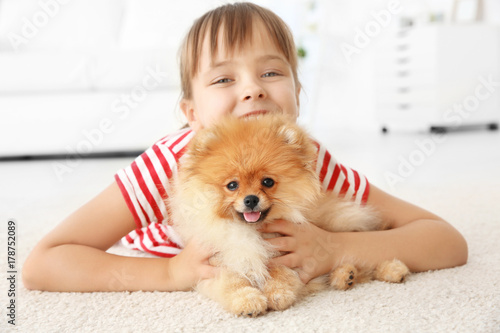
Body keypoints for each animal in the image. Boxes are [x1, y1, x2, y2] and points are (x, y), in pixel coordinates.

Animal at [170, 115, 408, 316]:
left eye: (267, 182)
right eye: (232, 185)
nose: (250, 199)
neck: (253, 232)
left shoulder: (288, 254)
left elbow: (280, 271)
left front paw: (278, 293)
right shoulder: (218, 262)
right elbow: (233, 282)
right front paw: (247, 300)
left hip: (337, 224)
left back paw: (391, 270)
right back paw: (345, 275)